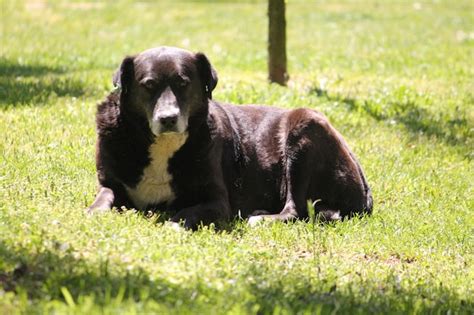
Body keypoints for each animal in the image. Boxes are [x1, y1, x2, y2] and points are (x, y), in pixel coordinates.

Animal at [87, 46, 372, 230]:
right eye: (148, 85)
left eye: (183, 83)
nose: (168, 119)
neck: (164, 145)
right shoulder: (110, 184)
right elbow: (103, 199)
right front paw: (93, 213)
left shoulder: (216, 201)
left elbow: (185, 213)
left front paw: (173, 225)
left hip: (305, 127)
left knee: (296, 210)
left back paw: (261, 218)